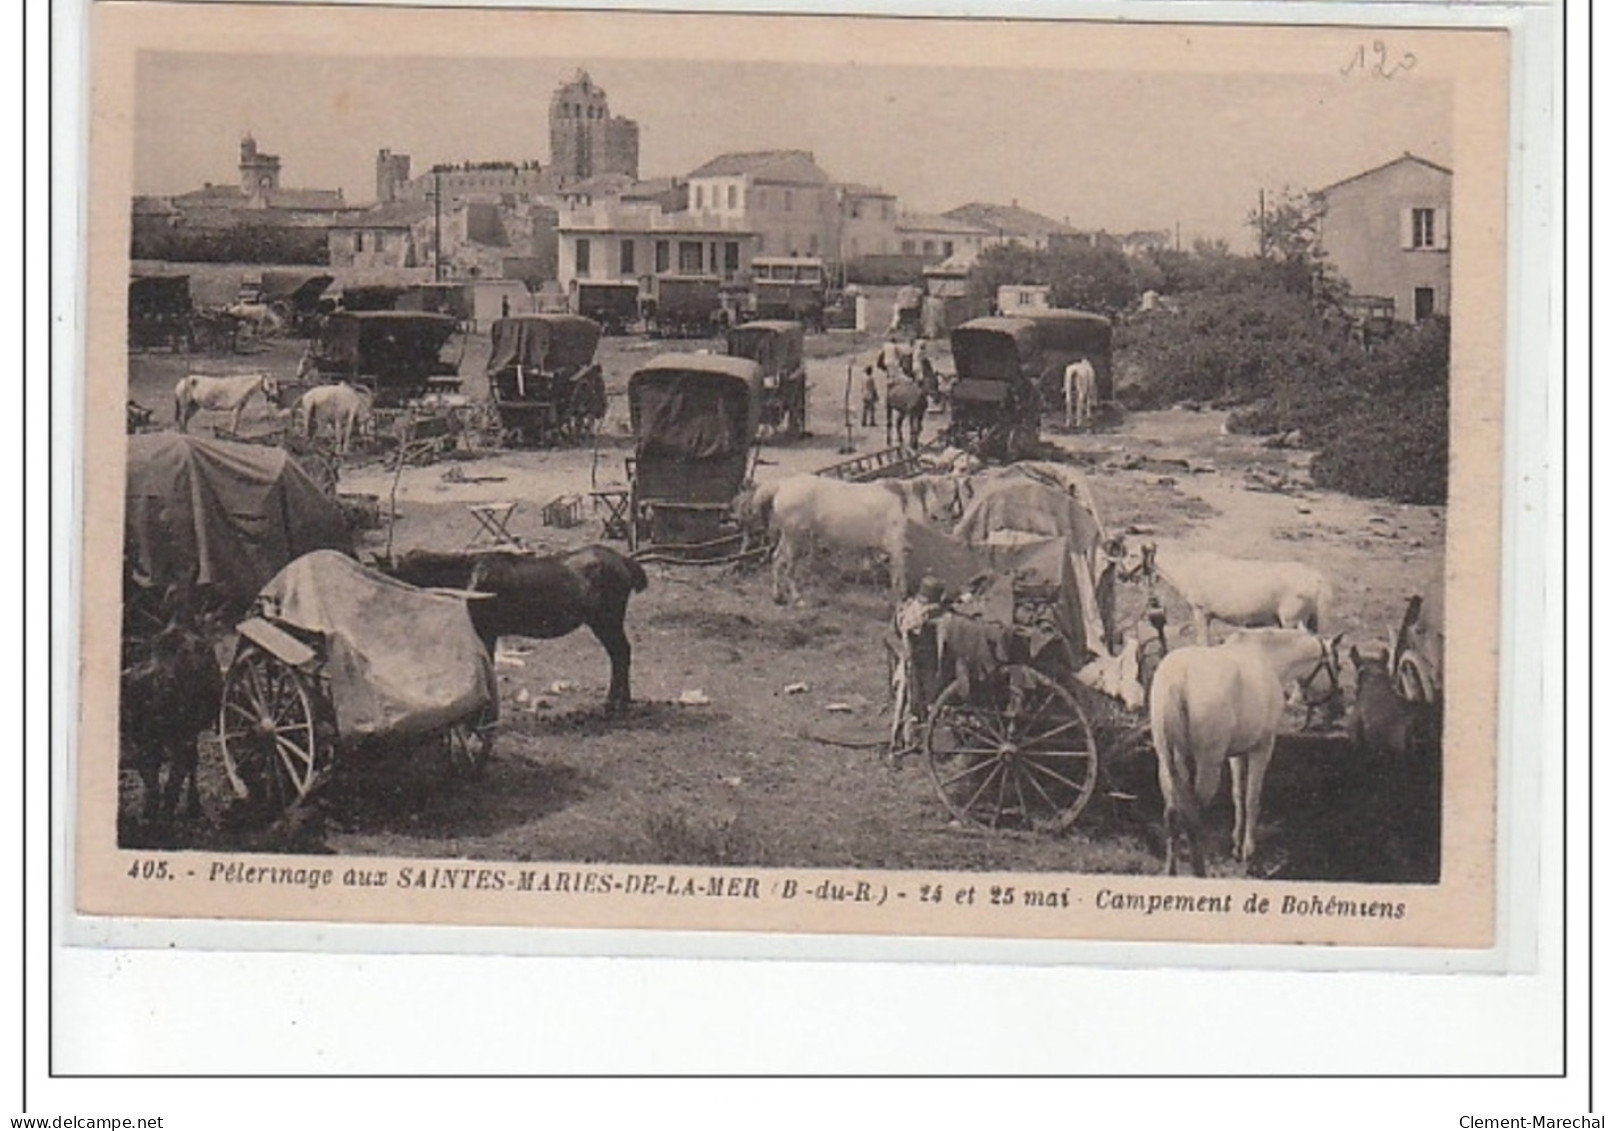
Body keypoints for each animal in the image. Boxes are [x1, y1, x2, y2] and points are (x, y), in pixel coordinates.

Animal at [384, 546, 649, 707]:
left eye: (389, 573)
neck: (468, 577)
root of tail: (624, 561)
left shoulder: (486, 630)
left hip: (606, 620)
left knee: (621, 652)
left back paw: (614, 702)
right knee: (619, 654)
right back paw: (622, 700)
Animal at [1130, 546, 1330, 649]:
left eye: (1131, 554)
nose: (1123, 575)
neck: (1186, 568)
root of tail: (1316, 577)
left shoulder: (1200, 611)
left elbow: (1202, 642)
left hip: (1292, 620)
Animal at [1149, 626, 1350, 872]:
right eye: (1338, 666)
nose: (1339, 707)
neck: (1267, 657)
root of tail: (1179, 678)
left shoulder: (1236, 754)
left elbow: (1238, 794)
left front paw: (1237, 842)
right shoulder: (1262, 748)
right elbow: (1252, 797)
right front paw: (1248, 849)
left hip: (1168, 764)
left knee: (1172, 813)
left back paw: (1171, 869)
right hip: (1207, 764)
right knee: (1194, 816)